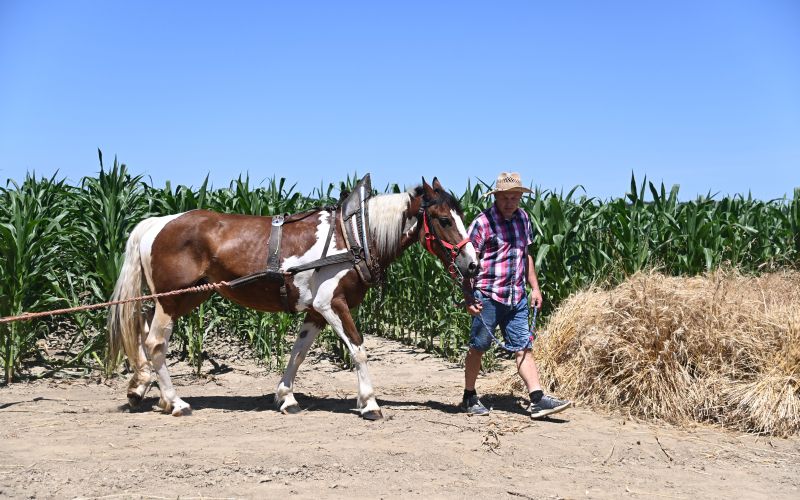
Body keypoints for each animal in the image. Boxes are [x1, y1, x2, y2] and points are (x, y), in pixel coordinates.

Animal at [108, 176, 478, 418]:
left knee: (142, 330)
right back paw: (176, 402)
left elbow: (298, 352)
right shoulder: (333, 304)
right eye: (444, 220)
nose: (473, 263)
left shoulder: (315, 310)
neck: (355, 236)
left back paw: (142, 388)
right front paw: (369, 403)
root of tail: (158, 222)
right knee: (155, 342)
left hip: (183, 297)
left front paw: (285, 397)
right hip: (172, 300)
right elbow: (358, 349)